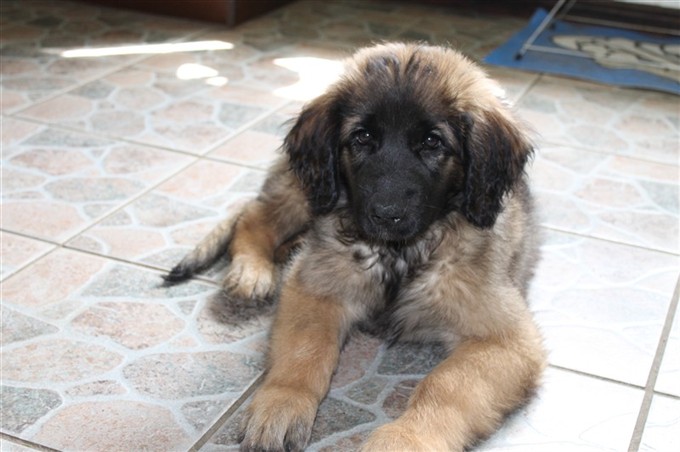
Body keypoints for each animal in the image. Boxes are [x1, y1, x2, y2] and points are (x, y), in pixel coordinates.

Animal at [165, 43, 548, 452]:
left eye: (432, 142)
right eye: (362, 137)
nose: (386, 214)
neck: (399, 254)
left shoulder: (505, 339)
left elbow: (445, 386)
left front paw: (406, 439)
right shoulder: (316, 286)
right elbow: (306, 351)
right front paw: (281, 403)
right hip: (306, 190)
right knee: (254, 216)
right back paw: (252, 272)